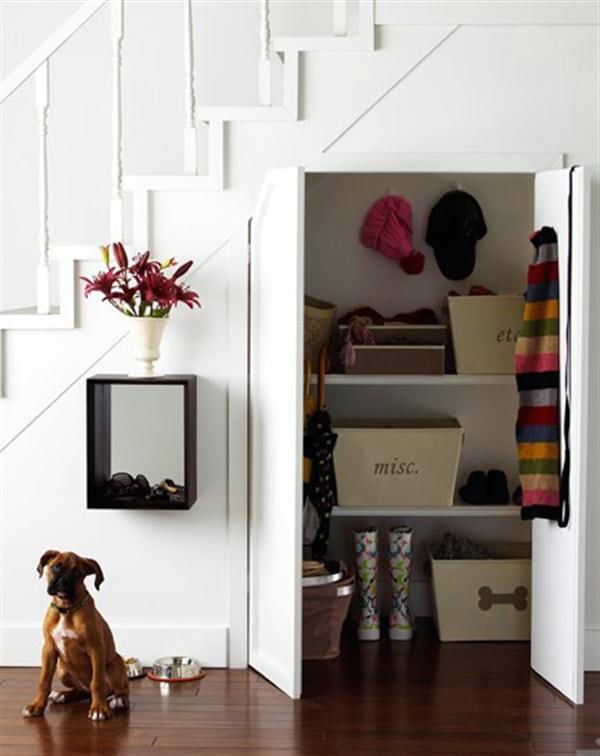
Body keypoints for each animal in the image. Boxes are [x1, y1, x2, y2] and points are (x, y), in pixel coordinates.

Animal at [23, 548, 129, 720]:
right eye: (56, 567)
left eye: (77, 572)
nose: (63, 581)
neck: (66, 609)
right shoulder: (48, 649)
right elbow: (44, 680)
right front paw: (36, 706)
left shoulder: (96, 649)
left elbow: (97, 682)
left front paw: (99, 709)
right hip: (61, 669)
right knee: (81, 691)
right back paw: (63, 695)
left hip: (114, 665)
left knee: (118, 689)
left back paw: (118, 700)